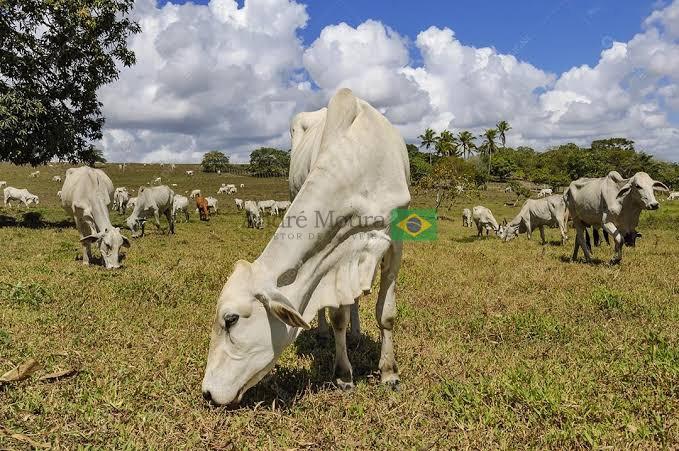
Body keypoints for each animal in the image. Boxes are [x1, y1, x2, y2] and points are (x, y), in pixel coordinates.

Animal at [202, 88, 412, 406]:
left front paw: (389, 373)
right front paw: (343, 374)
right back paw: (326, 333)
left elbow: (385, 313)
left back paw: (357, 335)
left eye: (231, 319)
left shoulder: (392, 244)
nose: (207, 392)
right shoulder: (335, 254)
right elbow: (337, 314)